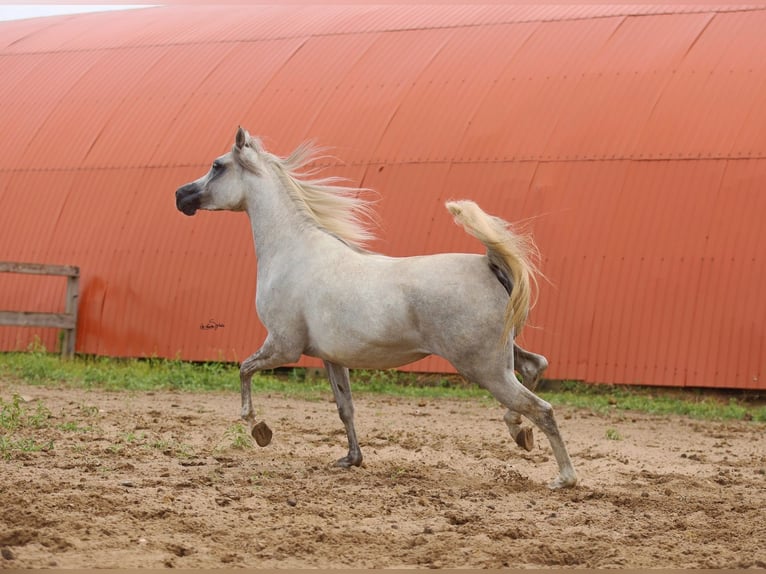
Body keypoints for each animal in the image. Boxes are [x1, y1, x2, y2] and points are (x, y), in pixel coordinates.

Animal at [177, 129, 580, 490]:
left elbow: (244, 370)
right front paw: (351, 459)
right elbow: (345, 407)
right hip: (502, 356)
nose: (180, 195)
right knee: (536, 367)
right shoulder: (330, 357)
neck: (293, 252)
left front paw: (259, 429)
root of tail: (488, 263)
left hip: (485, 368)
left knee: (541, 408)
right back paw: (519, 432)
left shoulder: (282, 346)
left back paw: (564, 478)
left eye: (217, 166)